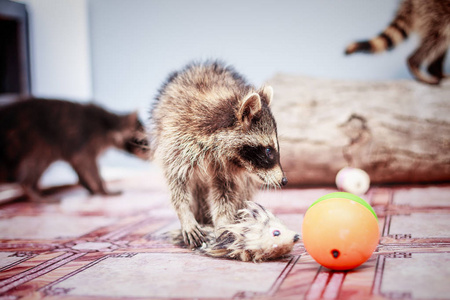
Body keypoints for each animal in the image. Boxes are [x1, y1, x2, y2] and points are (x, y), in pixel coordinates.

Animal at [0, 99, 149, 202]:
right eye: (142, 141)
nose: (150, 153)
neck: (108, 123)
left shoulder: (76, 151)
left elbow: (79, 167)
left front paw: (91, 189)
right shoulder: (86, 143)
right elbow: (88, 165)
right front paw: (102, 189)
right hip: (37, 144)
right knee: (32, 168)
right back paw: (35, 193)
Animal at [149, 60, 286, 248]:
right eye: (268, 151)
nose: (284, 180)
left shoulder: (226, 168)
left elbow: (225, 192)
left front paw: (224, 222)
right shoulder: (177, 138)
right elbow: (176, 182)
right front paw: (185, 215)